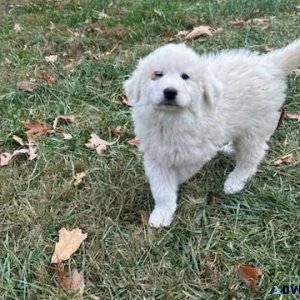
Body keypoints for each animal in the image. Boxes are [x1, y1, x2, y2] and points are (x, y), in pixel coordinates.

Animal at [123, 39, 298, 227]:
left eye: (185, 76)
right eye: (157, 74)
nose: (170, 91)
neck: (172, 119)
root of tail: (268, 64)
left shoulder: (197, 152)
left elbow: (181, 172)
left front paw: (176, 182)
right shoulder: (155, 155)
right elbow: (162, 188)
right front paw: (162, 214)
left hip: (254, 127)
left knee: (251, 156)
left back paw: (236, 180)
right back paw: (229, 149)